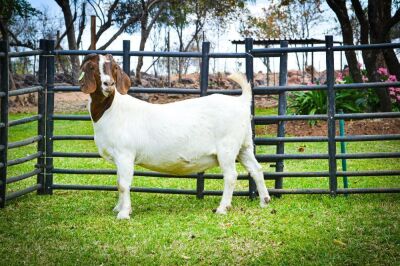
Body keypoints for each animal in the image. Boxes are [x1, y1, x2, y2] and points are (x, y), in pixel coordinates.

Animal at [79, 53, 270, 218]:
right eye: (93, 67)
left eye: (115, 68)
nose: (108, 84)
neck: (112, 110)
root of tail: (241, 101)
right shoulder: (119, 158)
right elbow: (118, 182)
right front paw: (118, 208)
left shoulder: (125, 154)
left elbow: (123, 184)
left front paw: (124, 214)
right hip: (244, 146)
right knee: (256, 169)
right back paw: (265, 201)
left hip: (227, 147)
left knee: (231, 176)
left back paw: (223, 208)